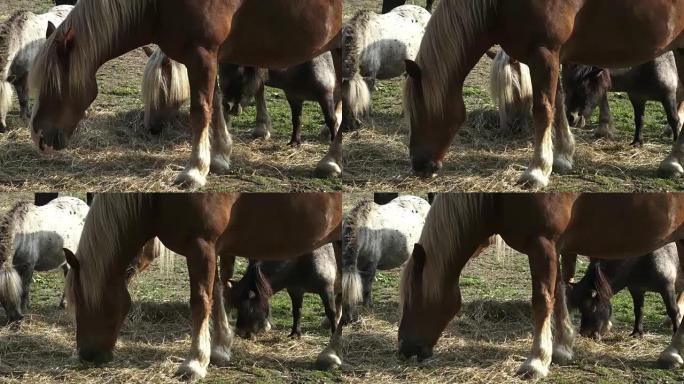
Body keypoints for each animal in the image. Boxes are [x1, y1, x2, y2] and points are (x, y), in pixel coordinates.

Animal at [0, 4, 72, 132]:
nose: (0, 128)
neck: (20, 42)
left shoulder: (25, 75)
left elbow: (24, 98)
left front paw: (24, 119)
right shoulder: (16, 77)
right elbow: (23, 98)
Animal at [26, 0, 342, 189]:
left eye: (53, 85)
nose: (39, 138)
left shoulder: (202, 56)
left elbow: (200, 110)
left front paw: (195, 170)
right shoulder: (213, 57)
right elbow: (216, 103)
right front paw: (220, 156)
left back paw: (330, 161)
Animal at [62, 194, 350, 380]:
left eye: (82, 301)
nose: (87, 354)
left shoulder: (201, 245)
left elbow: (200, 300)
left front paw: (195, 362)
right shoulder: (215, 247)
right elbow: (217, 290)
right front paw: (221, 348)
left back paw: (331, 354)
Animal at [398, 194, 684, 380]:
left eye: (413, 297)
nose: (404, 349)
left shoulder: (542, 243)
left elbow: (542, 299)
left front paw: (536, 361)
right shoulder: (554, 246)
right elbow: (559, 293)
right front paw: (562, 348)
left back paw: (672, 353)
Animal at [400, 0, 684, 189]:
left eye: (419, 112)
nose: (419, 165)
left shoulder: (545, 53)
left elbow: (542, 109)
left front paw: (537, 171)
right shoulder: (553, 57)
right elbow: (558, 104)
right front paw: (562, 156)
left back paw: (673, 162)